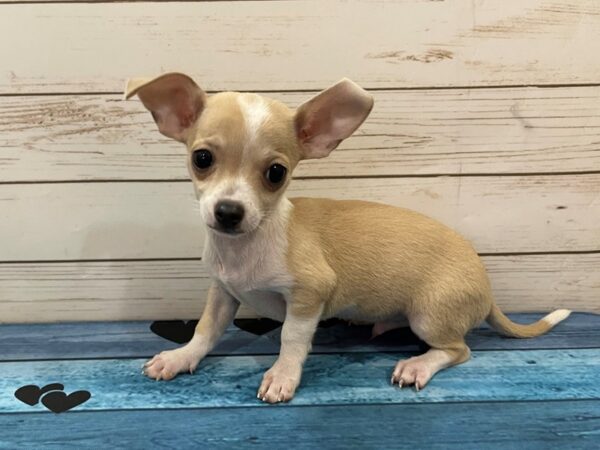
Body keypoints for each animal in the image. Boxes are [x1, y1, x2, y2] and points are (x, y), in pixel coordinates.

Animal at [125, 74, 568, 404]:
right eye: (201, 159)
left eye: (275, 173)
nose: (229, 212)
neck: (247, 246)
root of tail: (488, 289)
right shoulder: (222, 292)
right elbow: (206, 330)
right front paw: (180, 357)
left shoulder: (310, 296)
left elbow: (291, 338)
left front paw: (282, 376)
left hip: (429, 315)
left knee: (459, 350)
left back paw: (418, 365)